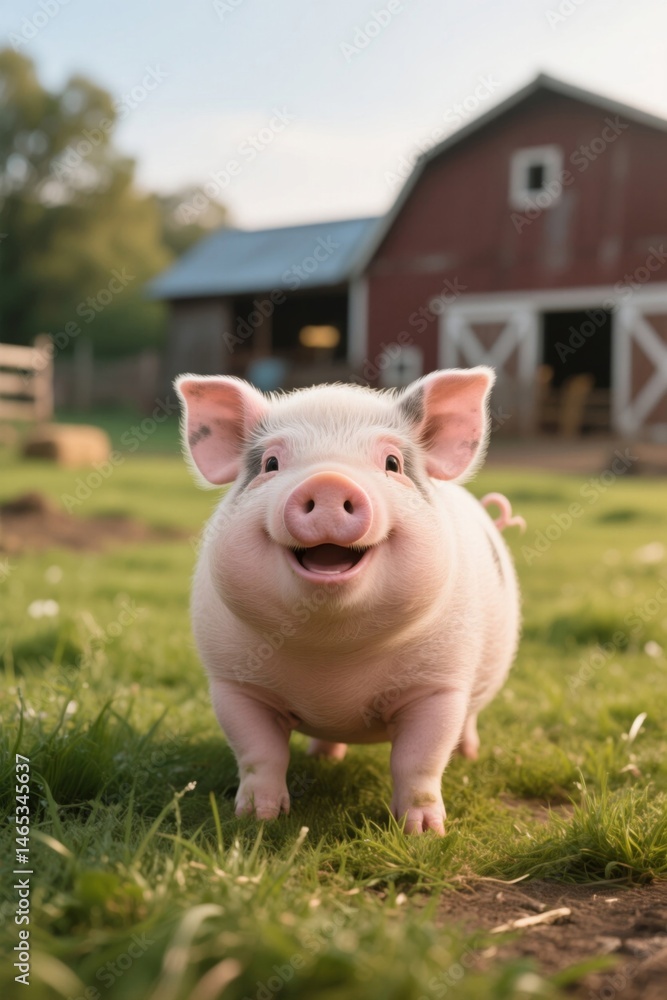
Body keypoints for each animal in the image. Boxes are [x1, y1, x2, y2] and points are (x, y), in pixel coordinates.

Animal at [175, 366, 521, 834]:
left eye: (392, 463)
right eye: (271, 464)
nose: (328, 480)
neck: (332, 659)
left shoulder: (439, 685)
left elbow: (419, 759)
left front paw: (424, 833)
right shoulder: (235, 683)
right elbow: (259, 753)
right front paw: (257, 819)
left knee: (467, 724)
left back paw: (469, 755)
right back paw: (322, 757)